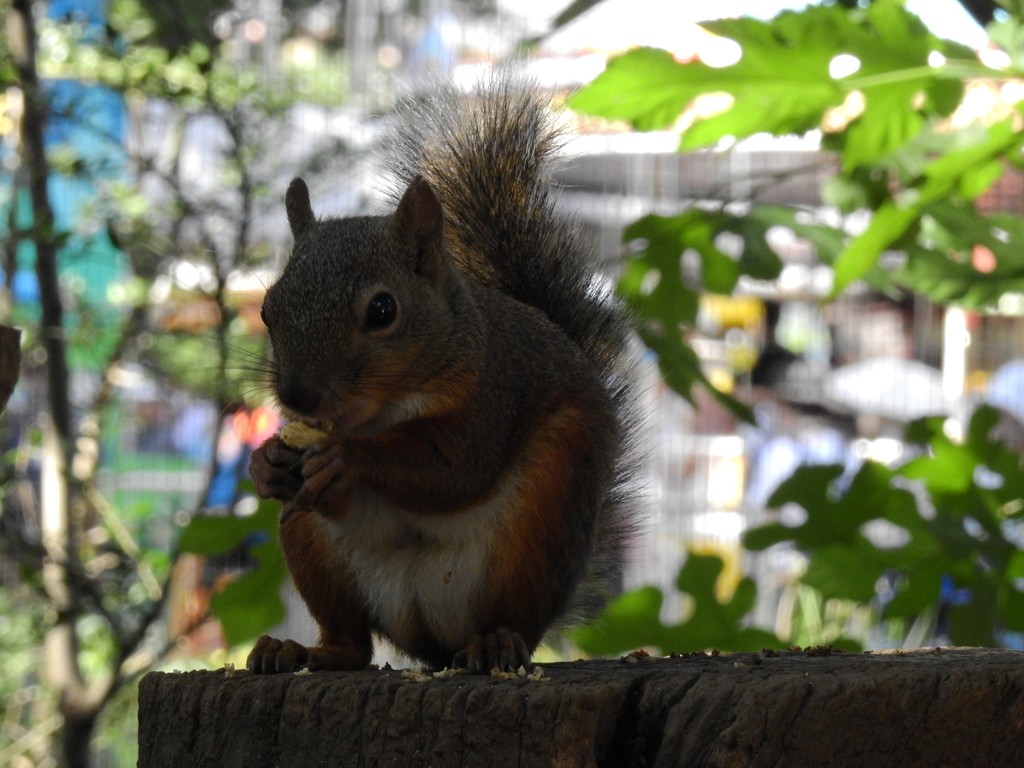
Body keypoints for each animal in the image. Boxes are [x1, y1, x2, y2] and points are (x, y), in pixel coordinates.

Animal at [244, 78, 634, 675]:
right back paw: (297, 650)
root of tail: (435, 641)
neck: (384, 412)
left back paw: (498, 644)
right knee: (352, 642)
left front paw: (347, 458)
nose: (297, 396)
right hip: (311, 544)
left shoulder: (491, 395)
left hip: (545, 517)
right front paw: (266, 463)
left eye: (382, 310)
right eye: (268, 310)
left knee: (518, 622)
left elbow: (454, 466)